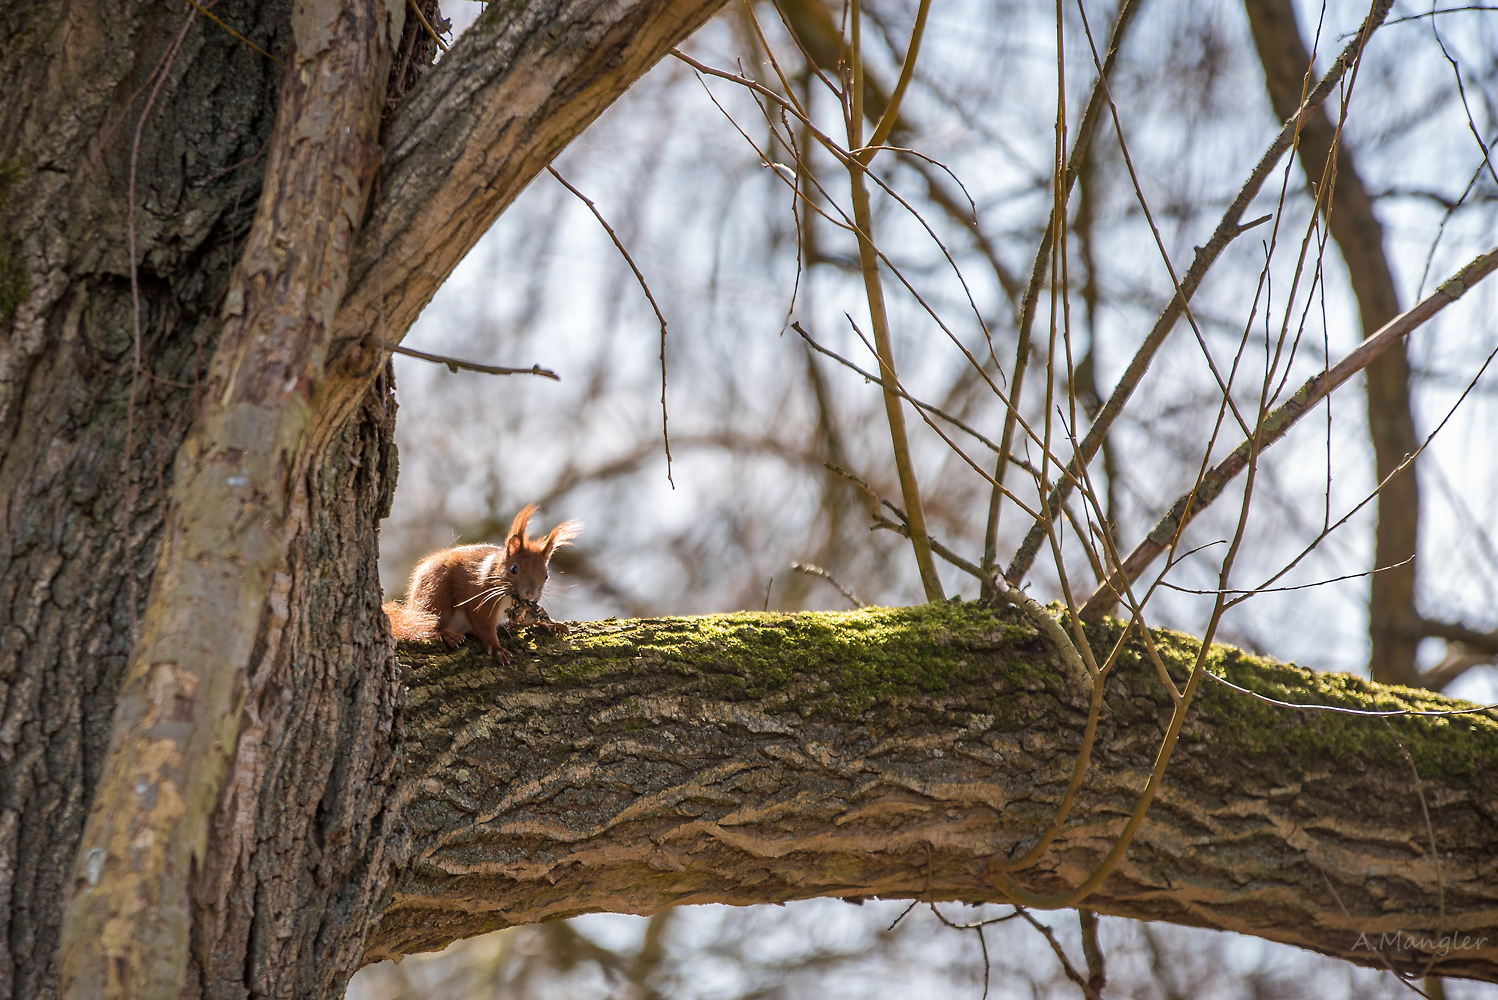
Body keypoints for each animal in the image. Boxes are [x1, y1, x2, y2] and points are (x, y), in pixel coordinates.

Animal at [383, 508, 581, 664]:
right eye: (514, 568)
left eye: (546, 575)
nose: (530, 594)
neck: (508, 596)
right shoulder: (479, 598)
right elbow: (483, 626)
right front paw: (496, 648)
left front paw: (550, 624)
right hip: (435, 589)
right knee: (430, 622)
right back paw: (446, 634)